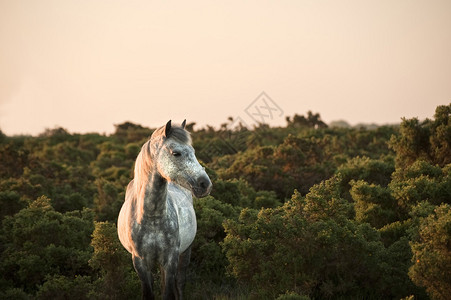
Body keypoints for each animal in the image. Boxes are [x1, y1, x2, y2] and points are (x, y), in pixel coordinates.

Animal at [118, 120, 214, 300]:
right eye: (176, 153)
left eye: (193, 151)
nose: (205, 184)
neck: (152, 217)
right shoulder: (140, 262)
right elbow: (148, 293)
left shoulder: (170, 260)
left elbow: (168, 292)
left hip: (185, 253)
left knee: (180, 284)